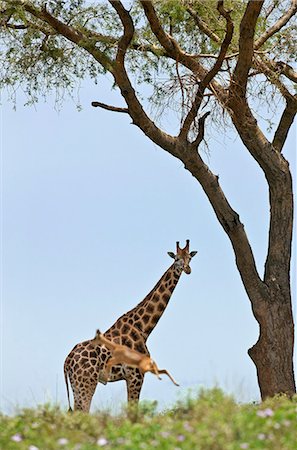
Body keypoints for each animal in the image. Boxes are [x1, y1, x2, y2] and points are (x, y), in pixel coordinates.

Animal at [63, 241, 195, 414]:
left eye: (189, 258)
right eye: (177, 259)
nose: (187, 269)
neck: (144, 328)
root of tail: (67, 361)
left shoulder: (132, 377)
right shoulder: (136, 375)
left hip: (77, 385)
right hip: (86, 382)